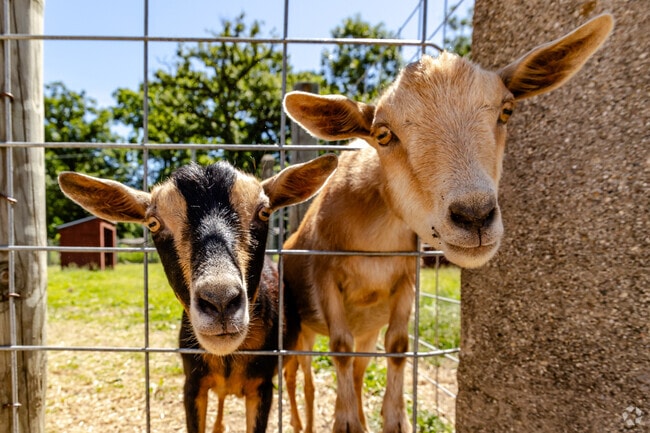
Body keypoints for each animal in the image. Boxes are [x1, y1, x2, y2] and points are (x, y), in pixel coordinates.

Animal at [58, 154, 338, 433]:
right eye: (154, 223)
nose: (221, 300)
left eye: (264, 212)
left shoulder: (261, 385)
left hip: (302, 340)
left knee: (300, 381)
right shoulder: (192, 383)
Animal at [282, 14, 613, 433]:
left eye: (506, 111)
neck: (374, 240)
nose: (474, 216)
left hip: (365, 327)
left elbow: (397, 348)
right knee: (300, 375)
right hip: (299, 328)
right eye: (383, 134)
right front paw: (345, 422)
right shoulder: (326, 276)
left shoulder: (404, 282)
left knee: (355, 370)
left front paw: (393, 419)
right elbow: (339, 350)